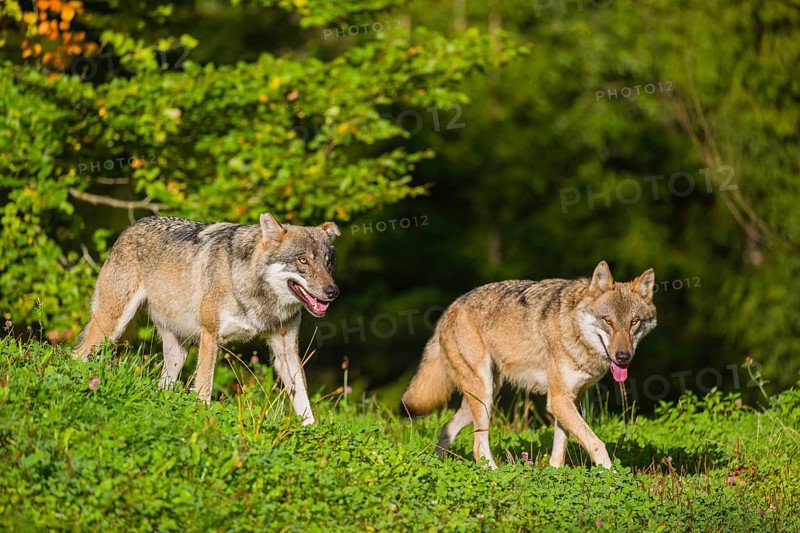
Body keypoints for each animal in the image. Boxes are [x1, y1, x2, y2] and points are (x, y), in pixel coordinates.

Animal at [74, 213, 340, 425]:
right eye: (303, 260)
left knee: (162, 386)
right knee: (77, 355)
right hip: (109, 327)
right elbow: (204, 388)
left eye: (328, 263)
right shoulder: (210, 336)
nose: (333, 292)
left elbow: (303, 401)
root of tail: (133, 225)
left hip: (177, 355)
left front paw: (313, 434)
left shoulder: (286, 350)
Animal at [401, 261, 656, 468]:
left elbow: (560, 448)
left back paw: (437, 464)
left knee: (446, 428)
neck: (573, 328)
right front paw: (612, 478)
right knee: (478, 447)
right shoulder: (559, 400)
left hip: (485, 397)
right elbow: (596, 443)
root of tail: (448, 310)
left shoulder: (569, 400)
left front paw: (555, 474)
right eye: (608, 321)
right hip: (483, 395)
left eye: (634, 322)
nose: (623, 356)